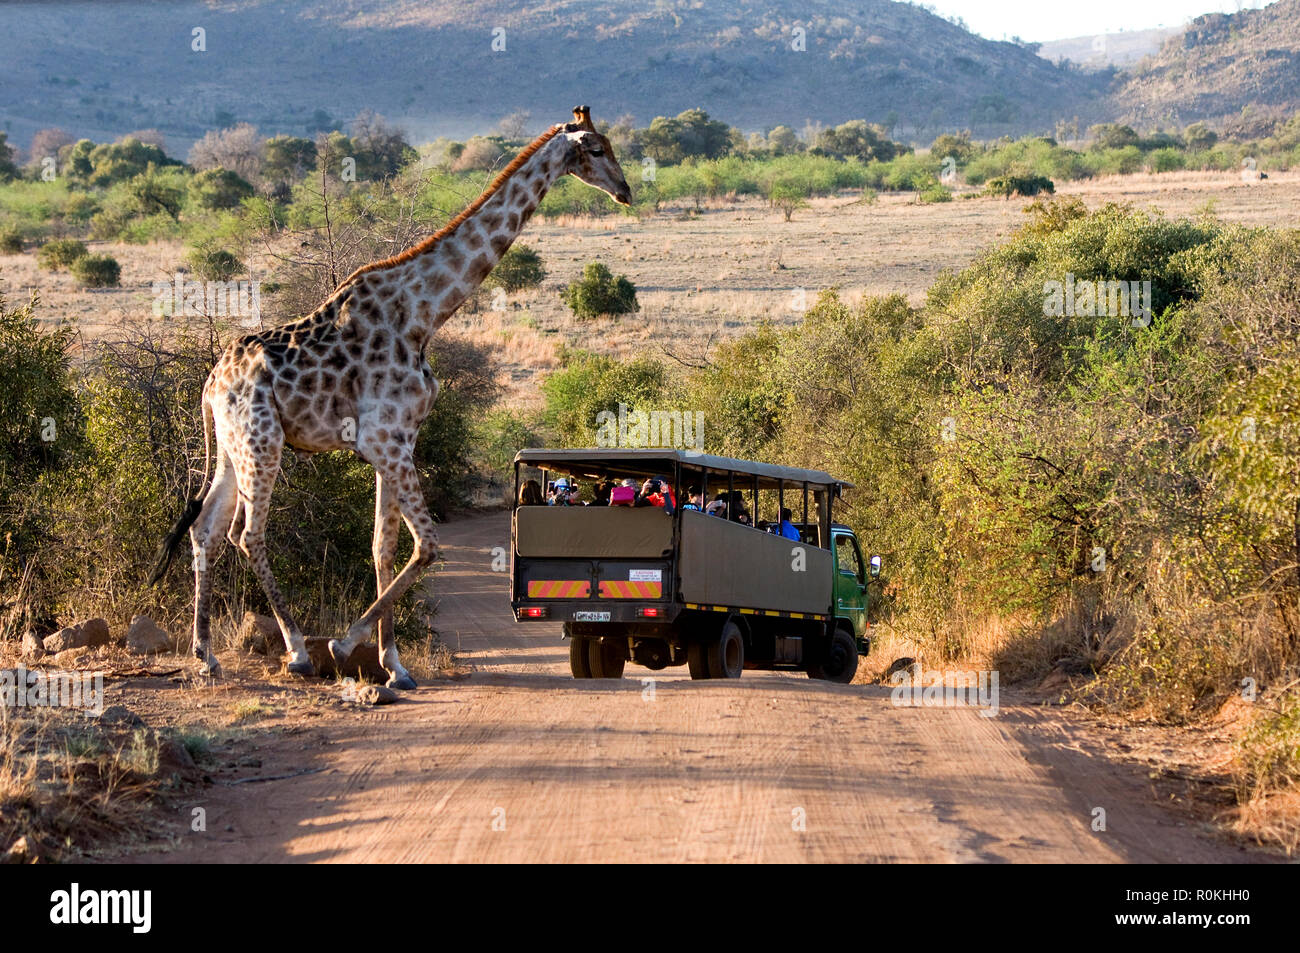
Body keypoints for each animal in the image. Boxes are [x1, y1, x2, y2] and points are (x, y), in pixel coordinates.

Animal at [154, 105, 631, 686]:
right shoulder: (384, 440)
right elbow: (426, 544)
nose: (627, 191)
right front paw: (345, 644)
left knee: (205, 529)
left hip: (231, 445)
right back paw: (298, 651)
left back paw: (206, 654)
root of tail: (211, 382)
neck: (424, 313)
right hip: (261, 442)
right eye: (598, 149)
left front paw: (393, 665)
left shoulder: (397, 441)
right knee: (247, 534)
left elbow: (383, 547)